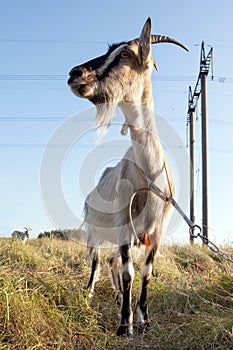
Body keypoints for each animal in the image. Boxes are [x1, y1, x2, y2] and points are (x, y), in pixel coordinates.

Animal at [67, 18, 187, 336]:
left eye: (124, 54)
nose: (75, 74)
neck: (149, 175)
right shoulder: (123, 225)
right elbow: (128, 271)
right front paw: (124, 324)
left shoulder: (157, 232)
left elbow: (146, 272)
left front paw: (143, 317)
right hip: (94, 230)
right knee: (97, 261)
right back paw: (89, 294)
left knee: (108, 261)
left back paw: (119, 296)